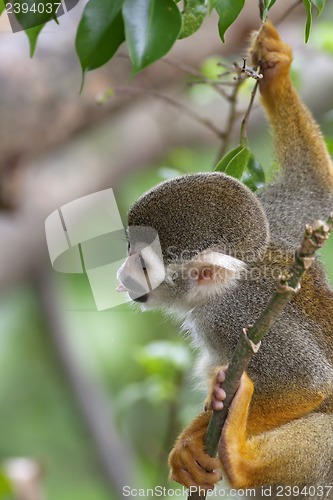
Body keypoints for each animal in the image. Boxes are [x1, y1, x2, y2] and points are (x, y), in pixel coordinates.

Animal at [116, 22, 332, 492]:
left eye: (143, 265)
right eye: (127, 251)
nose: (123, 277)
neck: (220, 292)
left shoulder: (239, 319)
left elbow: (309, 384)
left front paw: (194, 440)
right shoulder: (280, 228)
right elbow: (314, 187)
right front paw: (276, 69)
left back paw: (240, 458)